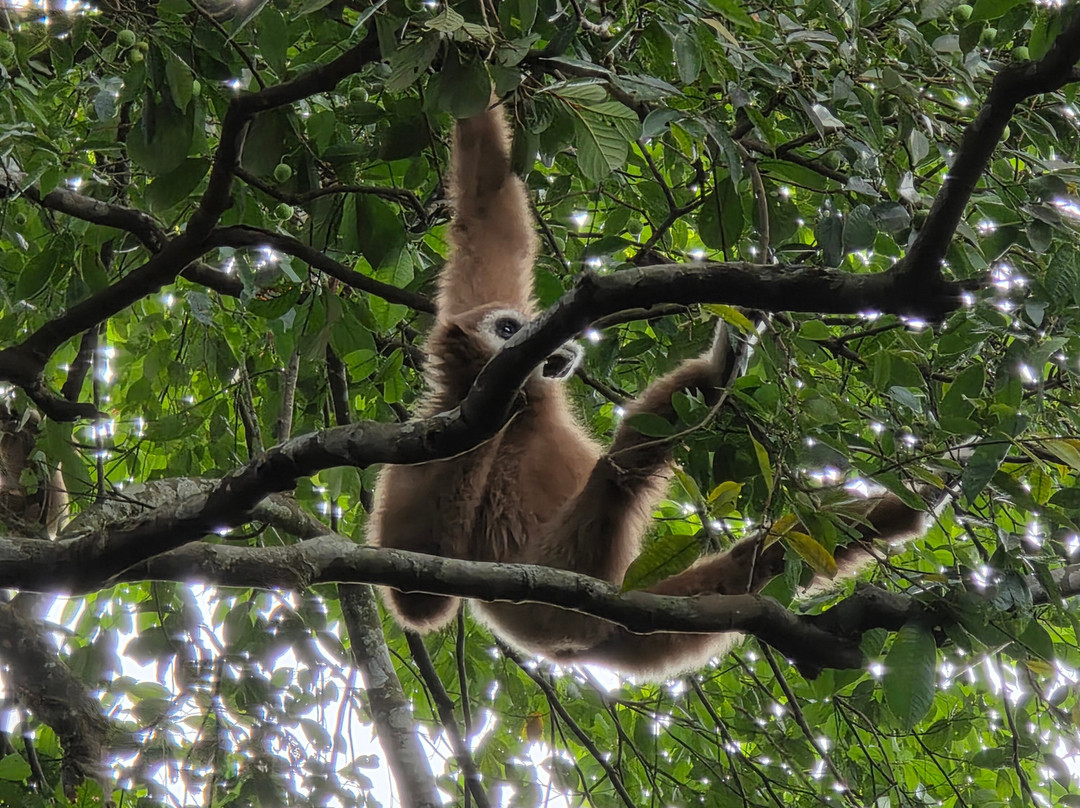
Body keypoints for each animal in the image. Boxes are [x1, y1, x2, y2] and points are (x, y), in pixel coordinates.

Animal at [368, 98, 925, 679]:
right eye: (504, 330)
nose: (538, 339)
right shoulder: (424, 439)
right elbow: (419, 598)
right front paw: (492, 415)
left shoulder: (471, 304)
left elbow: (488, 209)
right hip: (566, 585)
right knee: (617, 477)